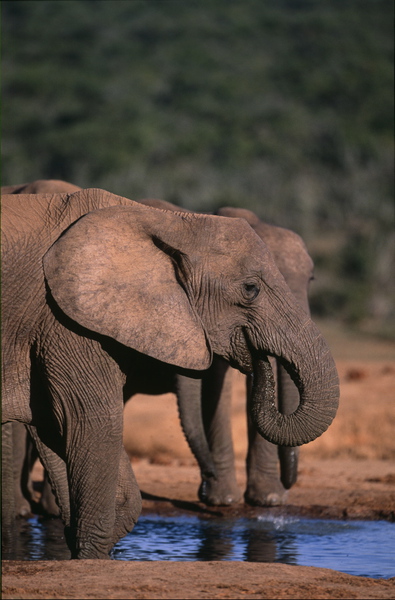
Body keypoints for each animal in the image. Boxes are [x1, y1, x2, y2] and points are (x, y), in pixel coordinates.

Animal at [1, 186, 338, 556]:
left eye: (312, 280)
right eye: (251, 289)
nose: (259, 358)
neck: (172, 222)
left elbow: (60, 424)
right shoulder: (64, 319)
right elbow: (92, 420)